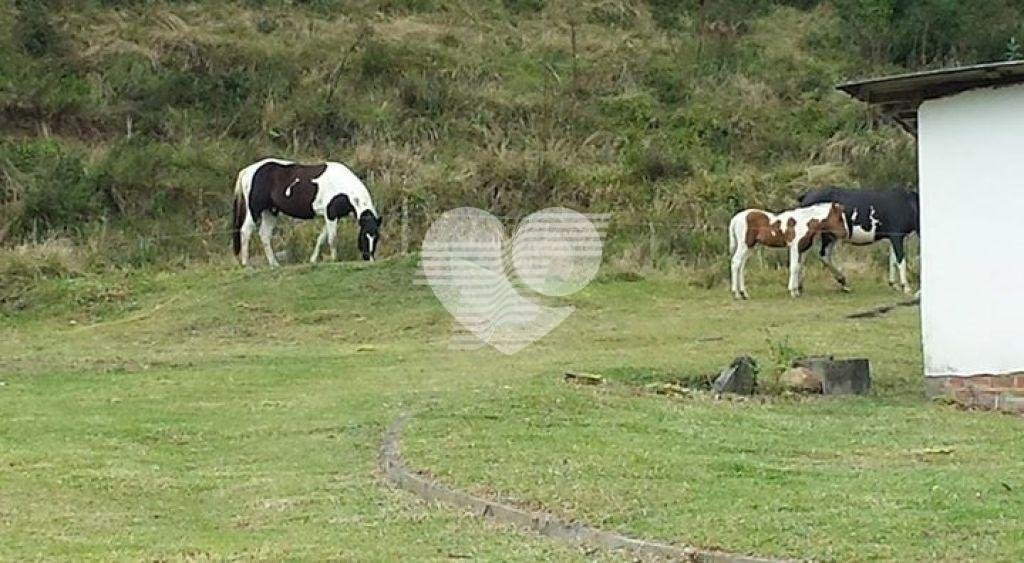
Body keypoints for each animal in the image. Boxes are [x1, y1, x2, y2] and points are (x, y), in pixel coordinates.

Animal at [230, 156, 382, 266]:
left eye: (376, 238)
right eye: (364, 236)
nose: (369, 258)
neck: (345, 189)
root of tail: (248, 170)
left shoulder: (331, 216)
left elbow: (321, 238)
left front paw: (313, 260)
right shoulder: (331, 214)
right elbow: (332, 239)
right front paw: (335, 260)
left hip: (270, 211)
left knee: (264, 235)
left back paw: (274, 264)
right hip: (254, 210)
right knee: (246, 231)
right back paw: (246, 263)